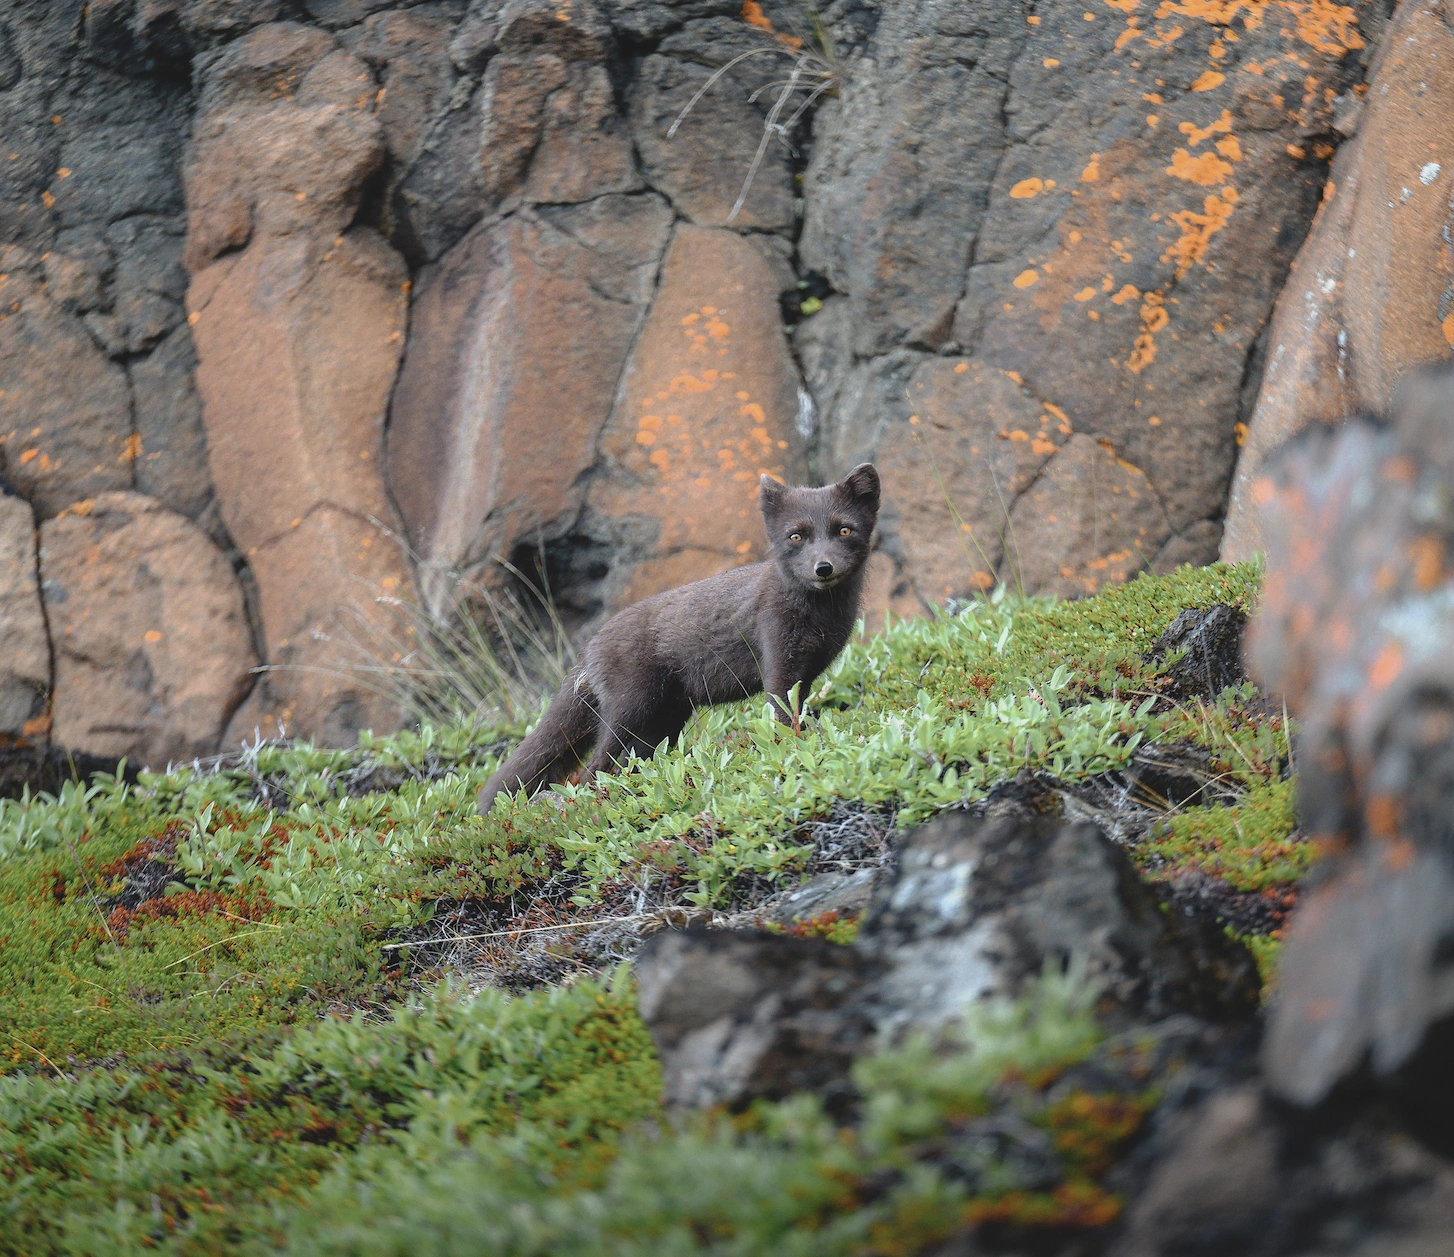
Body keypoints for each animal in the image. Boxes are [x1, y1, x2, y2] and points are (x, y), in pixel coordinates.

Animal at [482, 462, 878, 813]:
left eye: (844, 530)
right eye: (796, 536)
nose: (823, 568)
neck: (820, 617)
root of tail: (590, 647)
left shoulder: (807, 674)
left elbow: (800, 713)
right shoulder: (779, 665)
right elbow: (782, 718)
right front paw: (790, 750)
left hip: (665, 718)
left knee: (632, 761)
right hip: (629, 709)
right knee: (594, 767)